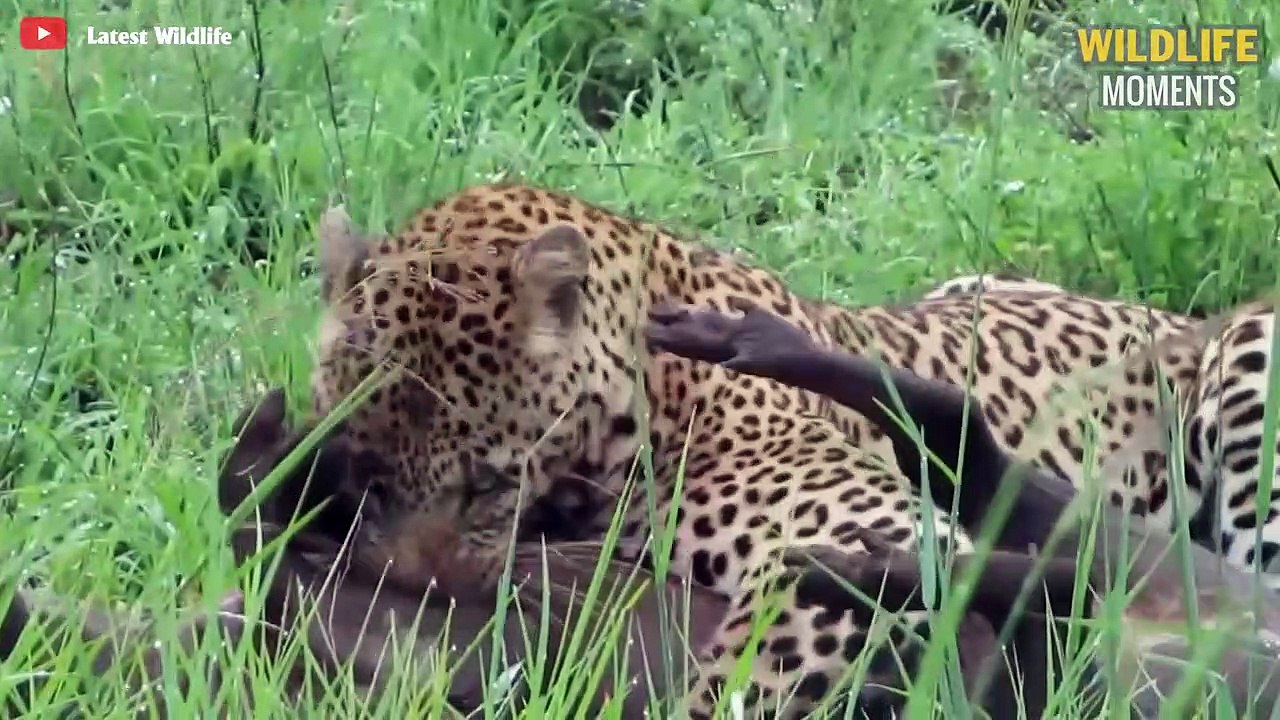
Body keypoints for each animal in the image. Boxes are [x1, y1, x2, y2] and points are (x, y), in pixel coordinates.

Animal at [305, 182, 1272, 716]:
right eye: (363, 477)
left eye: (483, 484)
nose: (412, 588)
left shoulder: (858, 520)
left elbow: (751, 672)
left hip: (1249, 365)